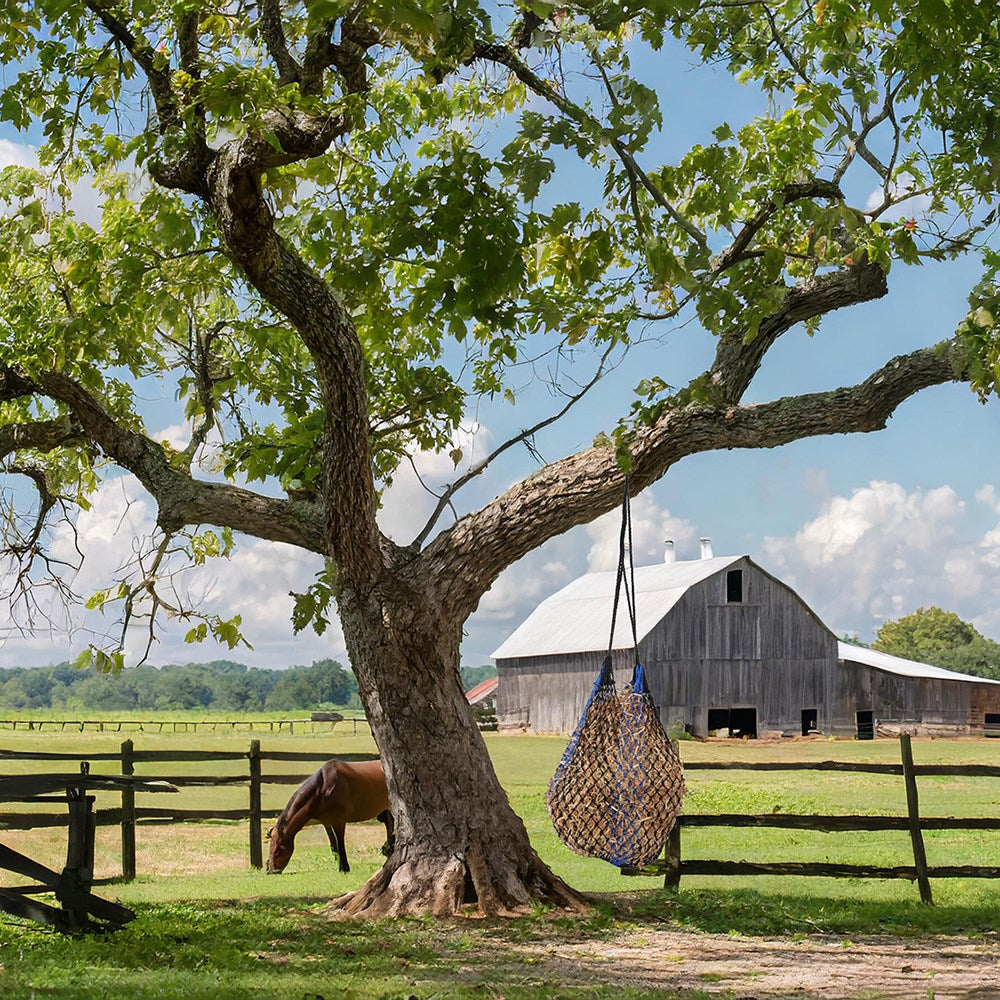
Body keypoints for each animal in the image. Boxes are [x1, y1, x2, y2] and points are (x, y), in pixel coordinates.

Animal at [266, 760, 394, 872]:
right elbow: (333, 845)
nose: (270, 871)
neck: (323, 788)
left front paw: (344, 868)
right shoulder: (326, 822)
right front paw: (339, 865)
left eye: (279, 850)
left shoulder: (339, 821)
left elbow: (340, 842)